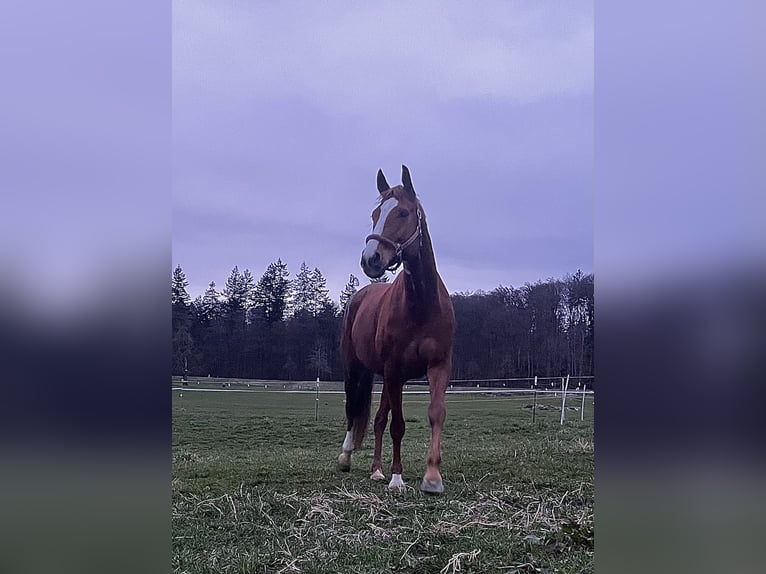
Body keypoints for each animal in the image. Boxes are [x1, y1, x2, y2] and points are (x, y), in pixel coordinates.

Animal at [338, 165, 456, 496]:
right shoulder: (393, 369)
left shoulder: (438, 365)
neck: (421, 305)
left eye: (403, 212)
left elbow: (435, 414)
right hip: (358, 369)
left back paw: (376, 470)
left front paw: (432, 477)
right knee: (353, 409)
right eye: (375, 214)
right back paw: (347, 456)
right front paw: (397, 478)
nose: (370, 259)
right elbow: (397, 425)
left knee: (378, 419)